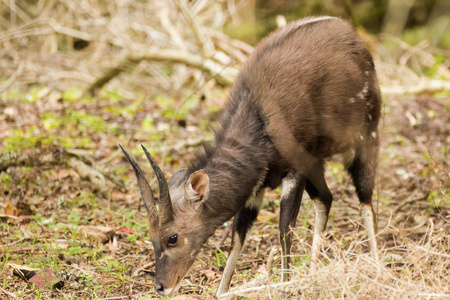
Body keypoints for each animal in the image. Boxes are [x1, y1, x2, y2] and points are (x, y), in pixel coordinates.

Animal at [118, 15, 380, 298]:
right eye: (152, 236)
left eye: (173, 237)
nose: (161, 286)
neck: (258, 126)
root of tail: (352, 34)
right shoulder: (258, 187)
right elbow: (236, 241)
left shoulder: (296, 170)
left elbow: (284, 229)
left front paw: (285, 284)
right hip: (318, 163)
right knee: (326, 199)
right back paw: (313, 272)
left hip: (366, 137)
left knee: (365, 199)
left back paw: (379, 268)